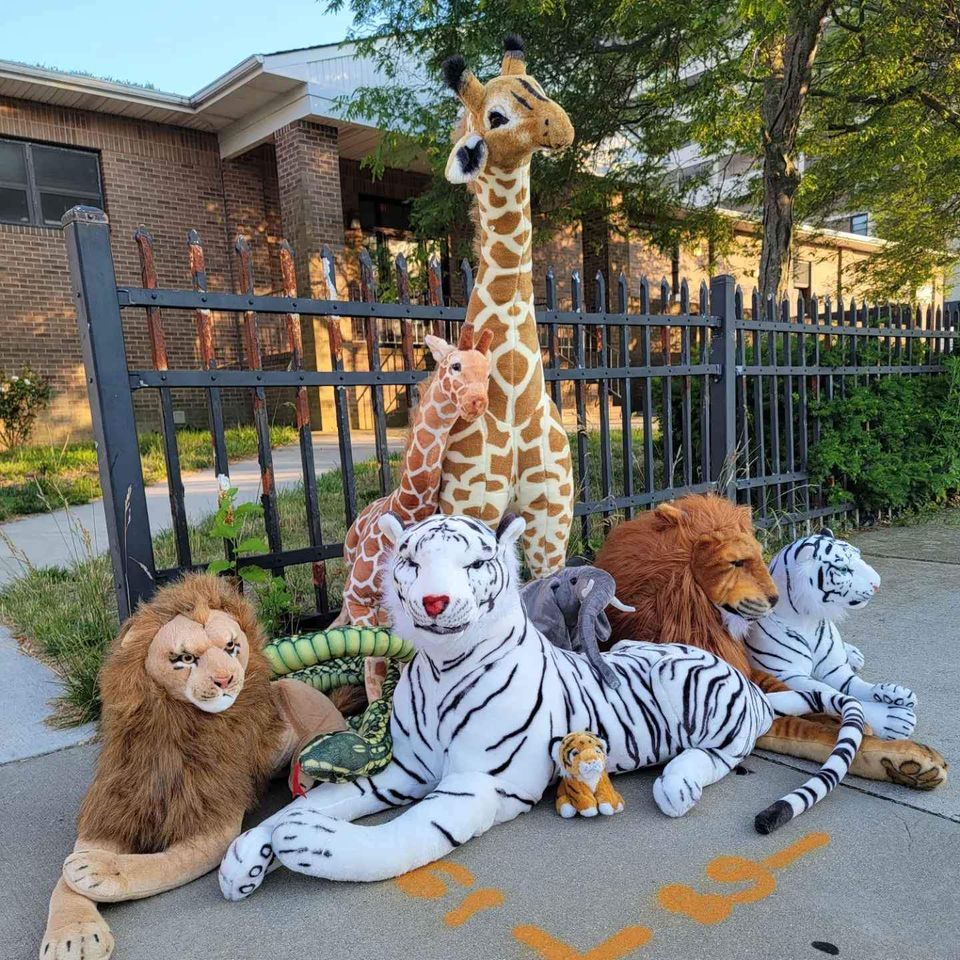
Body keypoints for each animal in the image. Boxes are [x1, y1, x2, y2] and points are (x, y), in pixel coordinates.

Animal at [596, 492, 948, 792]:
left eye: (757, 555)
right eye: (737, 562)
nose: (775, 599)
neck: (699, 615)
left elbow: (809, 698)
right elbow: (810, 728)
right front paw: (897, 740)